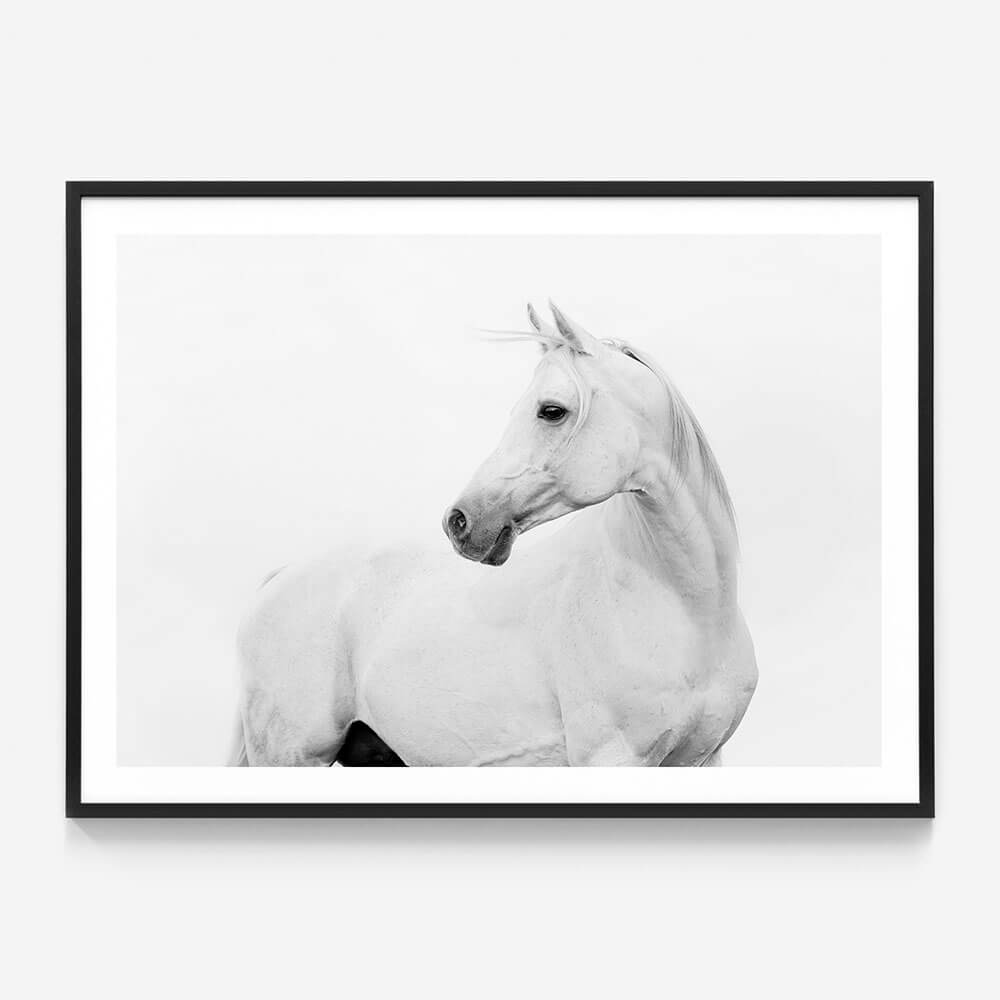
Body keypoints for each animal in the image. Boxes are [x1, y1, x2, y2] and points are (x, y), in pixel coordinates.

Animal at [230, 303, 757, 767]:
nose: (459, 521)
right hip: (292, 756)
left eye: (551, 410)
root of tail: (280, 578)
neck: (686, 609)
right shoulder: (612, 757)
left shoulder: (702, 759)